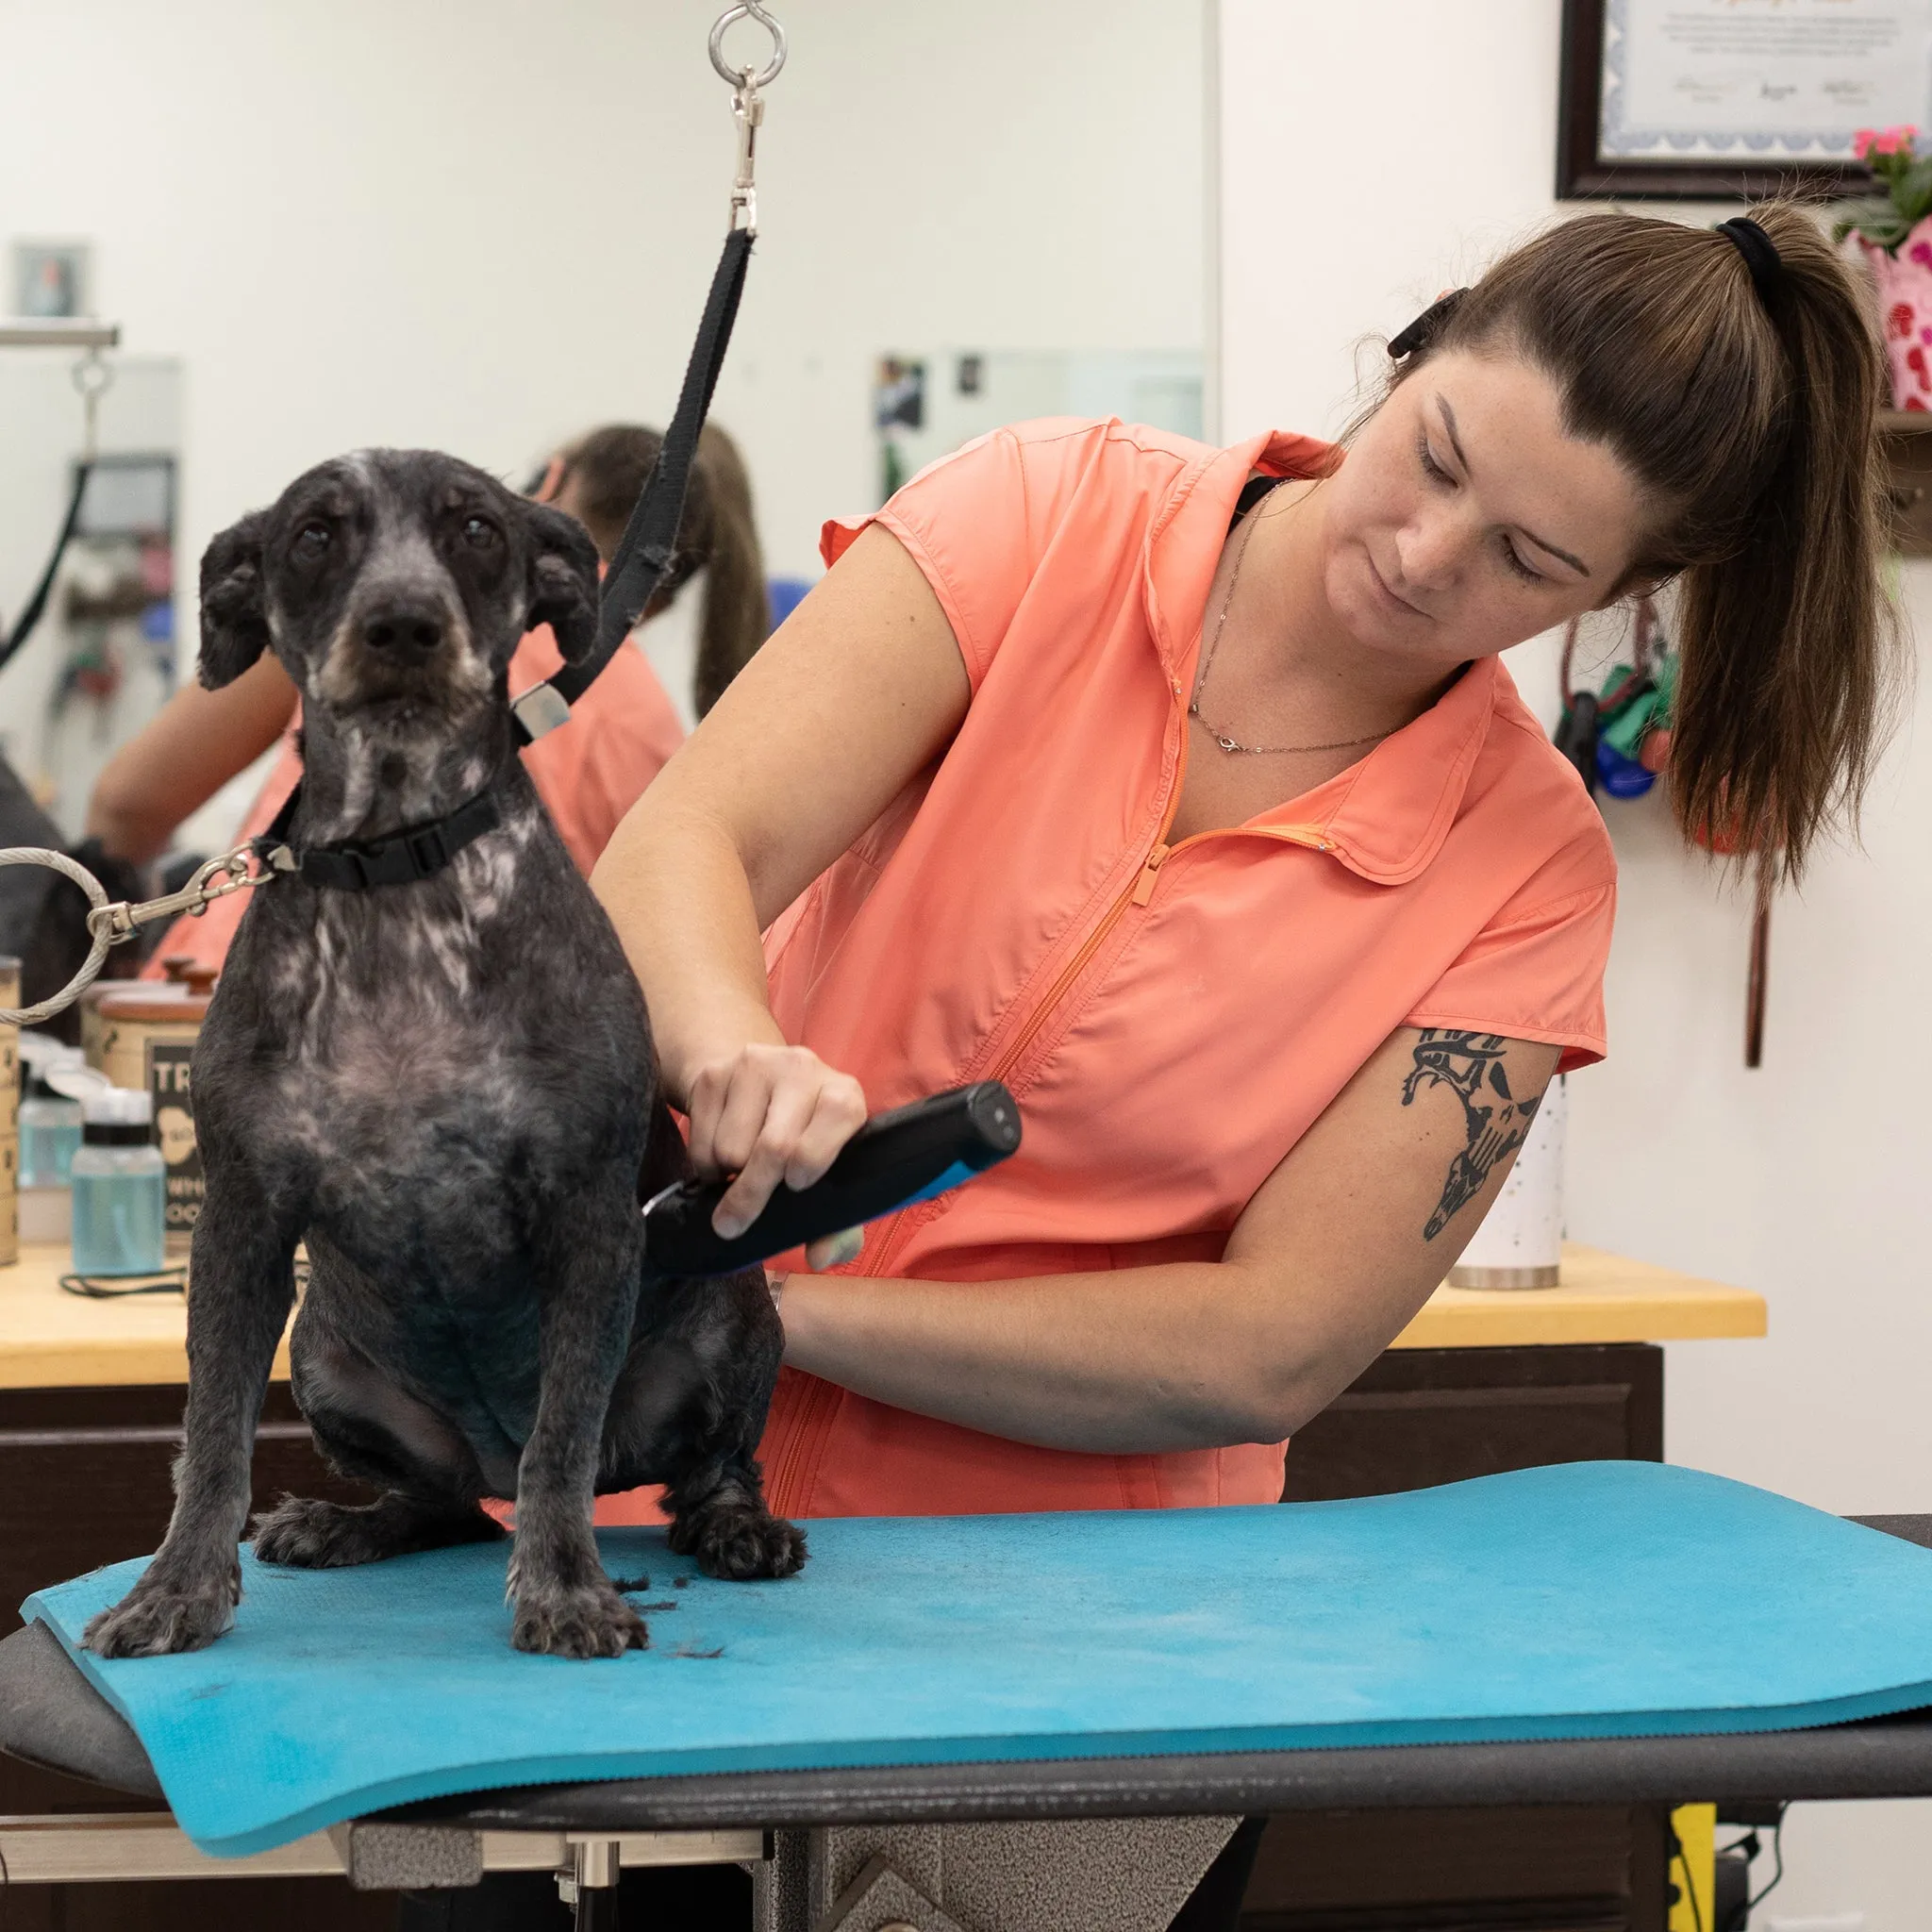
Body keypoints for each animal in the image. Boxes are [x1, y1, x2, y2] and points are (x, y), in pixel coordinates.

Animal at [83, 452, 803, 1661]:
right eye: (315, 534)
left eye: (474, 529)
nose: (403, 624)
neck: (398, 869)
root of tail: (483, 1453)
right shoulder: (240, 1228)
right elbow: (211, 1438)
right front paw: (176, 1588)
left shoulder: (591, 1223)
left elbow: (563, 1441)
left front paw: (564, 1587)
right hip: (324, 1354)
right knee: (443, 1505)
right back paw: (346, 1521)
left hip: (732, 1310)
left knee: (699, 1467)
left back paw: (736, 1527)